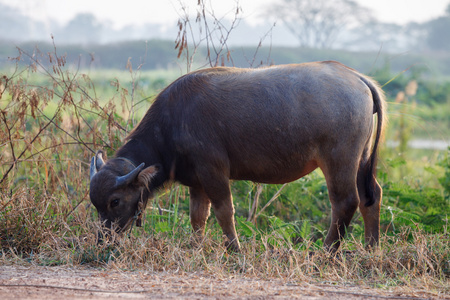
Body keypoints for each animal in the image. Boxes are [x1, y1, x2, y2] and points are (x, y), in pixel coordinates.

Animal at [89, 61, 384, 251]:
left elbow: (224, 211)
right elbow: (198, 217)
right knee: (370, 197)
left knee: (345, 202)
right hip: (361, 159)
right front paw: (195, 247)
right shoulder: (197, 182)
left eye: (115, 201)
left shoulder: (213, 171)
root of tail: (358, 78)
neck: (172, 123)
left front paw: (234, 249)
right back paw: (371, 248)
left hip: (339, 160)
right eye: (96, 204)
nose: (104, 241)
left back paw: (327, 251)